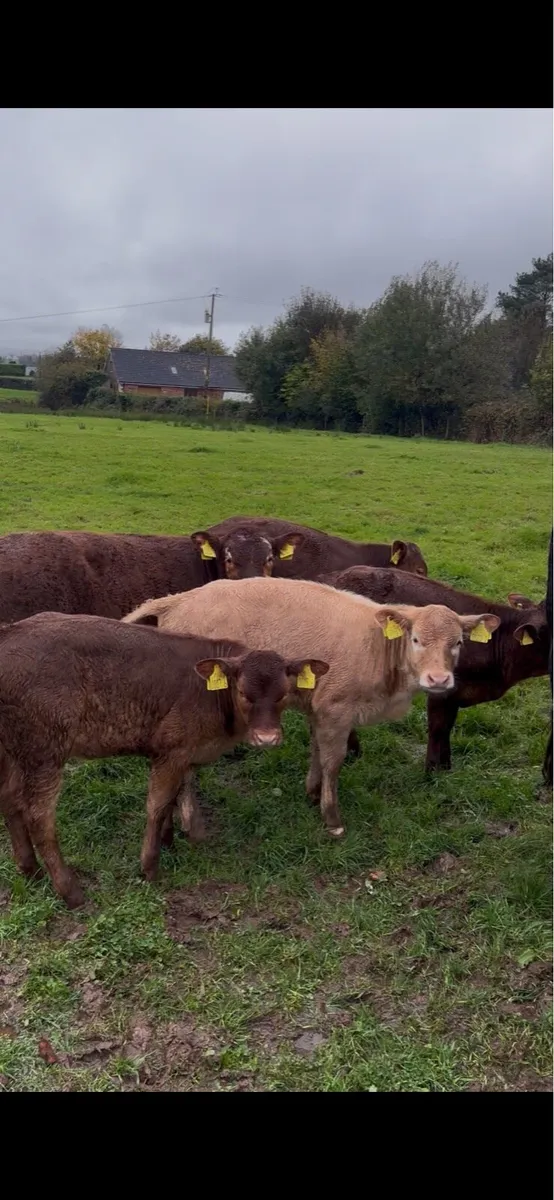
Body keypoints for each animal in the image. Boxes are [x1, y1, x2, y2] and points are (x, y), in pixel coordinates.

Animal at [0, 611, 328, 908]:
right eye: (244, 693)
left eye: (283, 694)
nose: (267, 738)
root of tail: (10, 633)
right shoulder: (172, 749)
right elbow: (156, 806)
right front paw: (150, 867)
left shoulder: (180, 753)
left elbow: (172, 799)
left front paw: (170, 841)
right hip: (45, 750)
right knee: (39, 817)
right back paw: (70, 892)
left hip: (13, 750)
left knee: (9, 798)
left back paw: (30, 870)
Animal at [123, 577, 499, 838]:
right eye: (417, 639)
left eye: (458, 643)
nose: (439, 679)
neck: (377, 646)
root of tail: (179, 600)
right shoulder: (337, 710)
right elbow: (334, 761)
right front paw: (331, 817)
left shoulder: (321, 709)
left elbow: (318, 751)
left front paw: (312, 792)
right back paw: (190, 824)